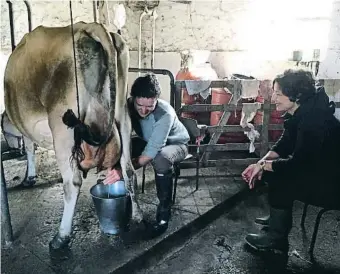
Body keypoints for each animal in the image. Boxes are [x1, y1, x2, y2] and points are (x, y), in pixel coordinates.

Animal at [1, 20, 142, 248]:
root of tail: (90, 26)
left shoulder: (29, 128)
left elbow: (30, 148)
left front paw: (29, 177)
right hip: (123, 117)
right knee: (129, 170)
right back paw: (138, 216)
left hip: (63, 127)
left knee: (73, 183)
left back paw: (61, 237)